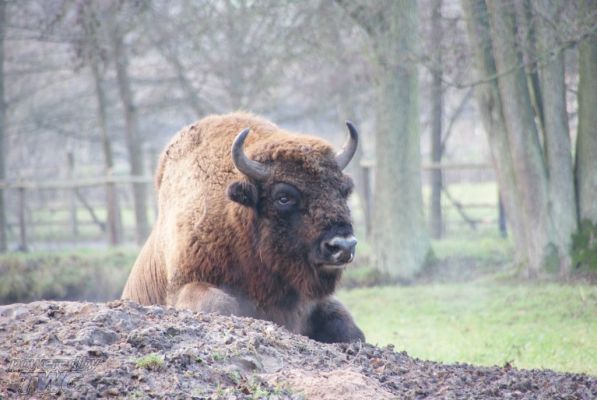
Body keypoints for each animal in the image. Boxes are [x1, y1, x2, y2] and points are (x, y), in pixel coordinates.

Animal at [121, 112, 364, 343]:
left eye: (344, 191)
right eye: (283, 197)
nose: (343, 246)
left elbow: (349, 328)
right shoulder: (183, 284)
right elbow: (220, 305)